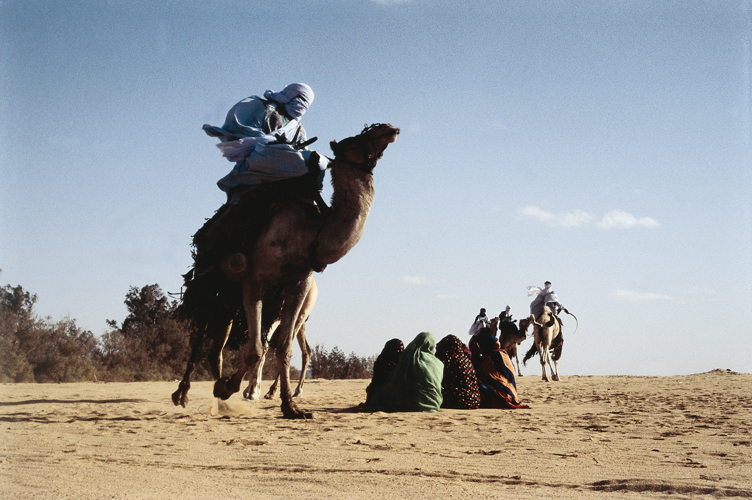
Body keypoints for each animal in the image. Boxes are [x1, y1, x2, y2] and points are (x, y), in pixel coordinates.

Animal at [209, 124, 400, 418]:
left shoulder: (297, 284)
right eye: (355, 139)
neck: (309, 234)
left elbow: (282, 348)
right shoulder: (255, 280)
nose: (388, 129)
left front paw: (290, 407)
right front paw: (230, 387)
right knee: (220, 330)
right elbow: (255, 349)